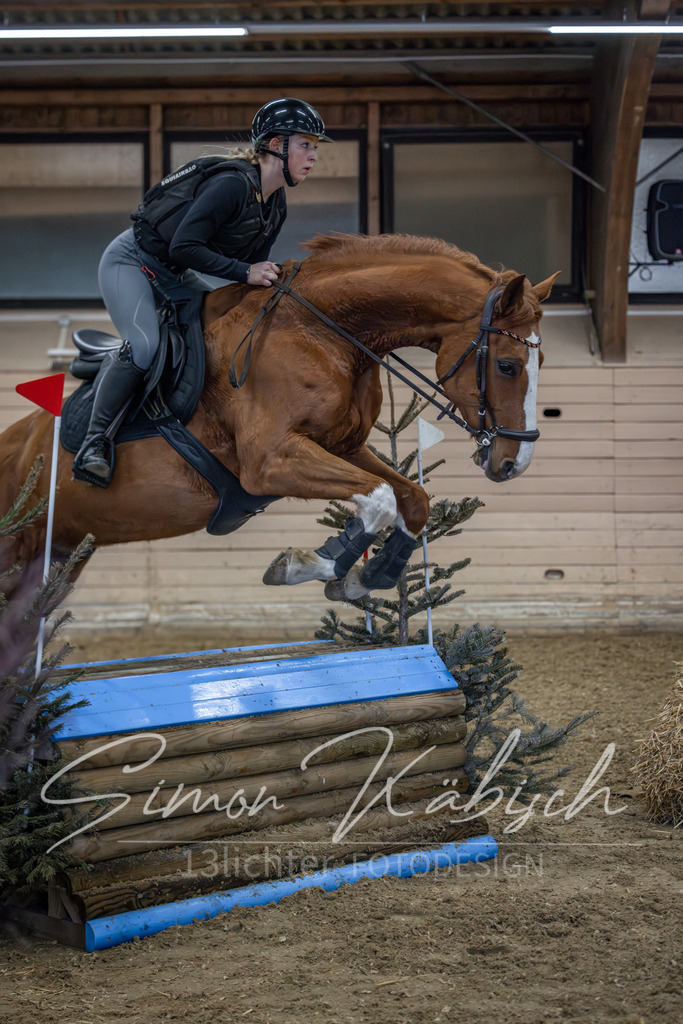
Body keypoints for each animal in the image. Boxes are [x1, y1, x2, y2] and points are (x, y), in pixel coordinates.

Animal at [0, 233, 557, 604]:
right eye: (508, 366)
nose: (515, 462)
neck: (321, 328)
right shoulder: (271, 461)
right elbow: (379, 499)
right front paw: (313, 562)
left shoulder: (341, 447)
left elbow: (411, 499)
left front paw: (365, 577)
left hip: (61, 556)